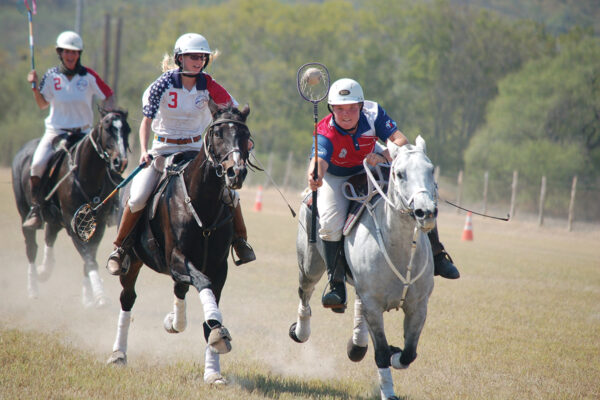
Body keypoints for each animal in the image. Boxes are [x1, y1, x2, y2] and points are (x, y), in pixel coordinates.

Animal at [10, 109, 130, 306]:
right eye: (107, 129)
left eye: (127, 130)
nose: (120, 162)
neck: (87, 177)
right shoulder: (73, 223)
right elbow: (89, 258)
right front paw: (100, 296)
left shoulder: (97, 225)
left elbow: (90, 256)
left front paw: (88, 297)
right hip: (24, 212)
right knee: (31, 247)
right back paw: (33, 288)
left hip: (55, 218)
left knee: (50, 236)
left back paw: (45, 270)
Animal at [108, 103, 253, 384]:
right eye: (217, 133)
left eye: (245, 135)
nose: (236, 173)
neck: (203, 201)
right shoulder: (176, 258)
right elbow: (203, 285)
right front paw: (219, 334)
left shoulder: (218, 268)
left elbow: (209, 308)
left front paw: (213, 372)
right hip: (133, 260)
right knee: (128, 297)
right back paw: (118, 353)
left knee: (180, 289)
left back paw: (174, 321)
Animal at [290, 136, 436, 398]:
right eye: (399, 174)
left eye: (431, 170)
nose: (426, 212)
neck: (399, 249)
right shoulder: (373, 305)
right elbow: (381, 353)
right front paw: (388, 391)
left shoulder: (418, 306)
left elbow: (409, 353)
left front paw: (396, 353)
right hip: (309, 264)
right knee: (305, 293)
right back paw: (301, 330)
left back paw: (357, 344)